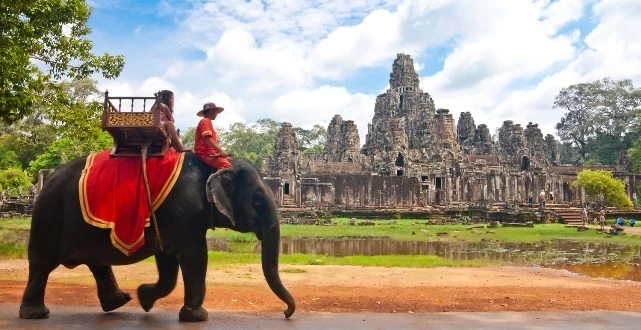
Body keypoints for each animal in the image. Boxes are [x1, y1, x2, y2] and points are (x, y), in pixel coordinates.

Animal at [18, 154, 296, 322]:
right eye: (257, 198)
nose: (285, 313)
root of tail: (47, 180)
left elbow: (169, 262)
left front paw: (145, 298)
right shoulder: (183, 211)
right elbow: (195, 255)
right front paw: (197, 317)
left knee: (97, 263)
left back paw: (118, 302)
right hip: (49, 215)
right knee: (41, 264)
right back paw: (35, 314)